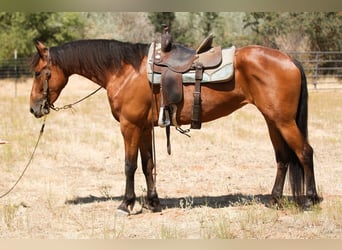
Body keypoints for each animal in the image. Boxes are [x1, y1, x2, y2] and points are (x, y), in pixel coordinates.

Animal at [28, 38, 320, 213]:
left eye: (38, 72)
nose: (33, 108)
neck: (125, 72)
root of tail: (290, 60)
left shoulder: (129, 127)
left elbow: (129, 165)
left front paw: (126, 204)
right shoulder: (144, 128)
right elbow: (148, 165)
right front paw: (153, 202)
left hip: (283, 121)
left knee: (305, 153)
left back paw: (310, 200)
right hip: (273, 121)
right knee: (283, 158)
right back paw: (274, 199)